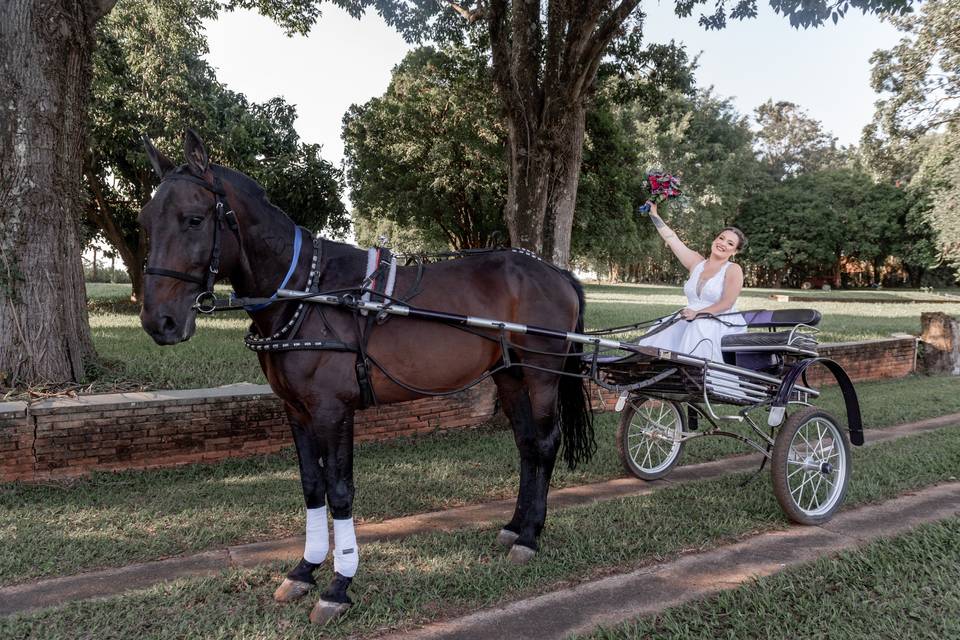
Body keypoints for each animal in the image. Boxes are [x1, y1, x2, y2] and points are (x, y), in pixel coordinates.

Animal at [140, 130, 596, 624]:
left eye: (194, 219)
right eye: (145, 222)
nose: (159, 321)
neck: (309, 291)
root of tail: (556, 271)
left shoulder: (333, 410)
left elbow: (339, 491)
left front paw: (339, 584)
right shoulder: (297, 411)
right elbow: (312, 487)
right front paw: (305, 569)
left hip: (541, 375)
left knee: (545, 444)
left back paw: (531, 536)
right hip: (510, 376)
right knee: (527, 444)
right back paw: (516, 526)